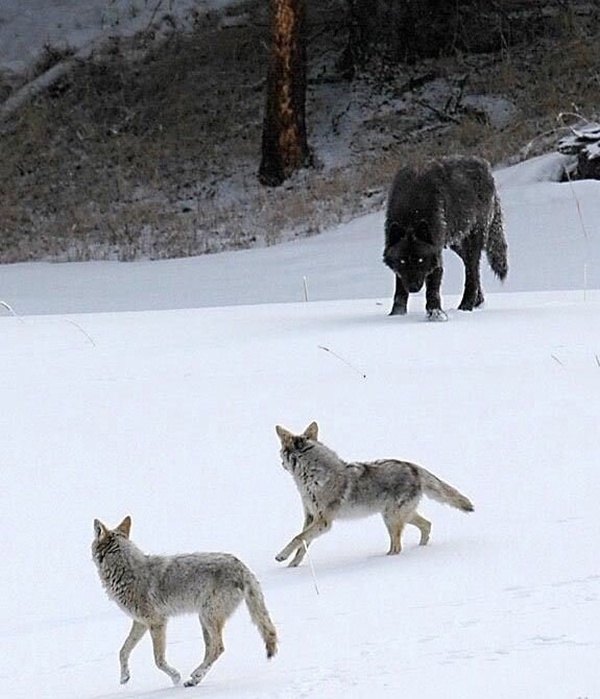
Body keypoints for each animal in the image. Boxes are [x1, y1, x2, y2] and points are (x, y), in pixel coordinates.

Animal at [384, 155, 506, 320]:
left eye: (421, 260)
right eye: (402, 261)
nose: (413, 287)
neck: (411, 212)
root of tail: (486, 167)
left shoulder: (435, 254)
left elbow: (433, 289)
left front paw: (435, 314)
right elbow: (400, 289)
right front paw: (396, 315)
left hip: (473, 240)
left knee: (472, 272)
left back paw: (466, 306)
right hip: (457, 244)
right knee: (471, 267)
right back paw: (477, 301)